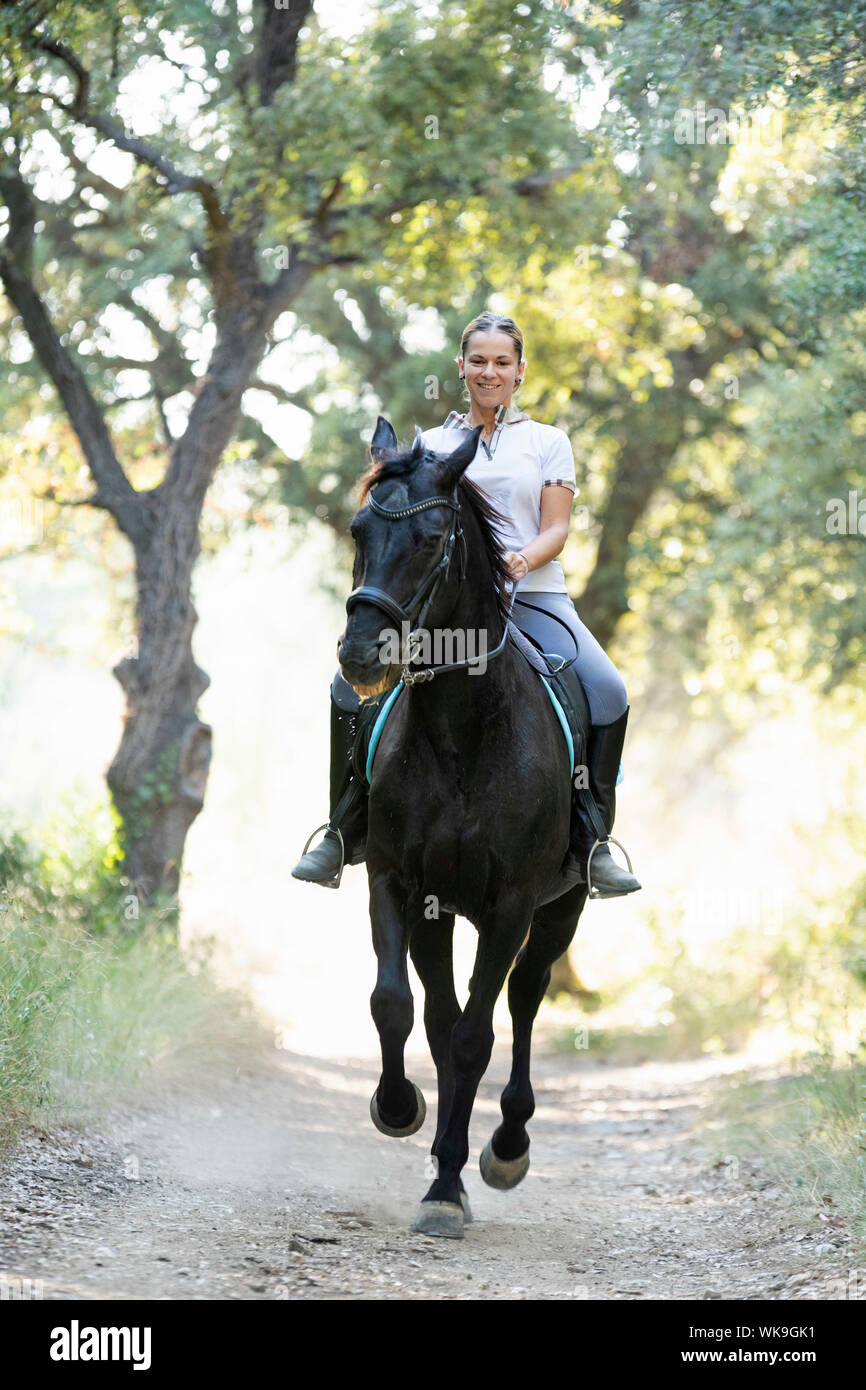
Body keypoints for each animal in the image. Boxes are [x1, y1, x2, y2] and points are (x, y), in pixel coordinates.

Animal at [339, 414, 589, 1239]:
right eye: (357, 529)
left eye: (429, 541)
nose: (360, 654)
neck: (462, 728)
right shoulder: (399, 884)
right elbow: (397, 1007)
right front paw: (399, 1112)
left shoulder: (512, 905)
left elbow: (481, 1033)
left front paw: (451, 1187)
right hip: (444, 914)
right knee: (442, 1019)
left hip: (560, 910)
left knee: (523, 1001)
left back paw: (505, 1147)